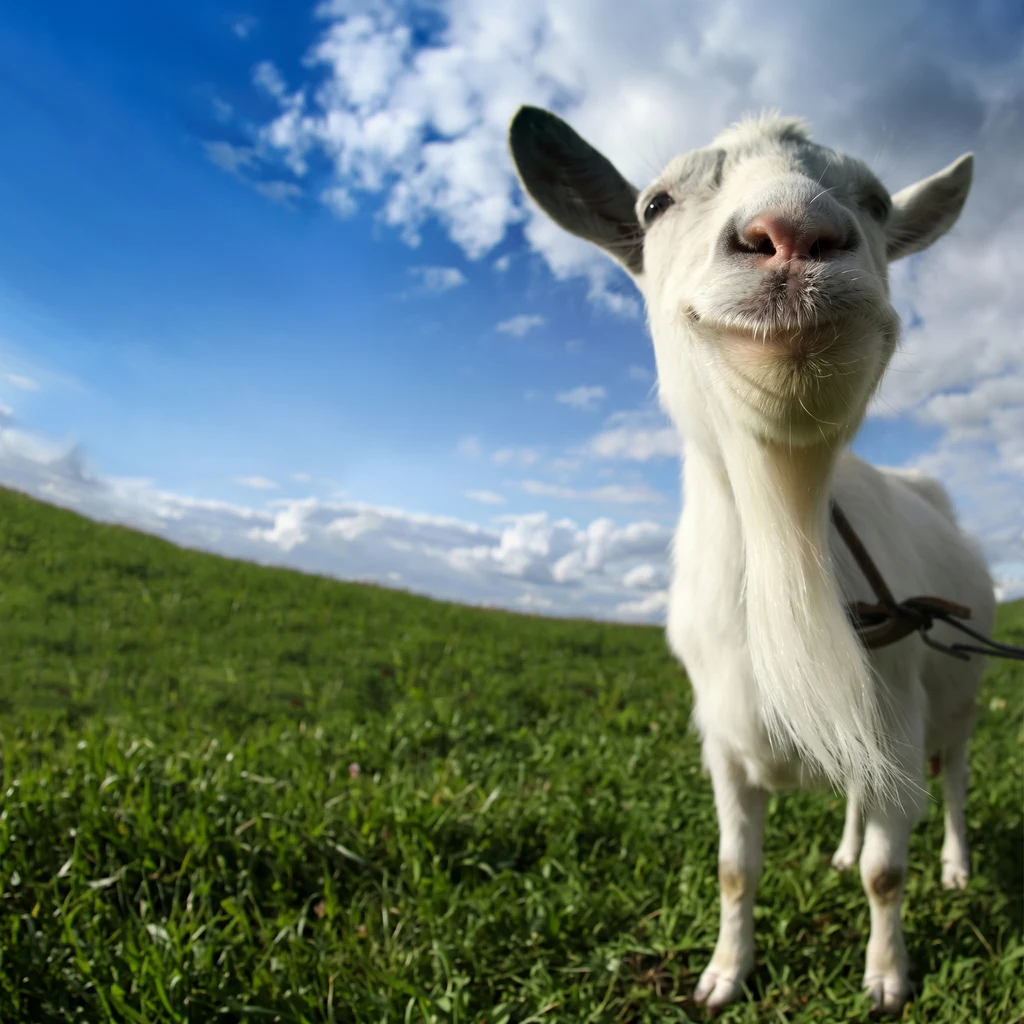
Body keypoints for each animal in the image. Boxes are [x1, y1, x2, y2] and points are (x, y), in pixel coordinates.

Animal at [508, 106, 994, 1014]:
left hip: (958, 699)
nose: (795, 234)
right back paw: (841, 848)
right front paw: (723, 975)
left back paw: (954, 865)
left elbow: (887, 875)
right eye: (656, 203)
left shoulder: (899, 721)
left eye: (877, 201)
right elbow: (736, 869)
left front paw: (887, 977)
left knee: (952, 779)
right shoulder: (725, 744)